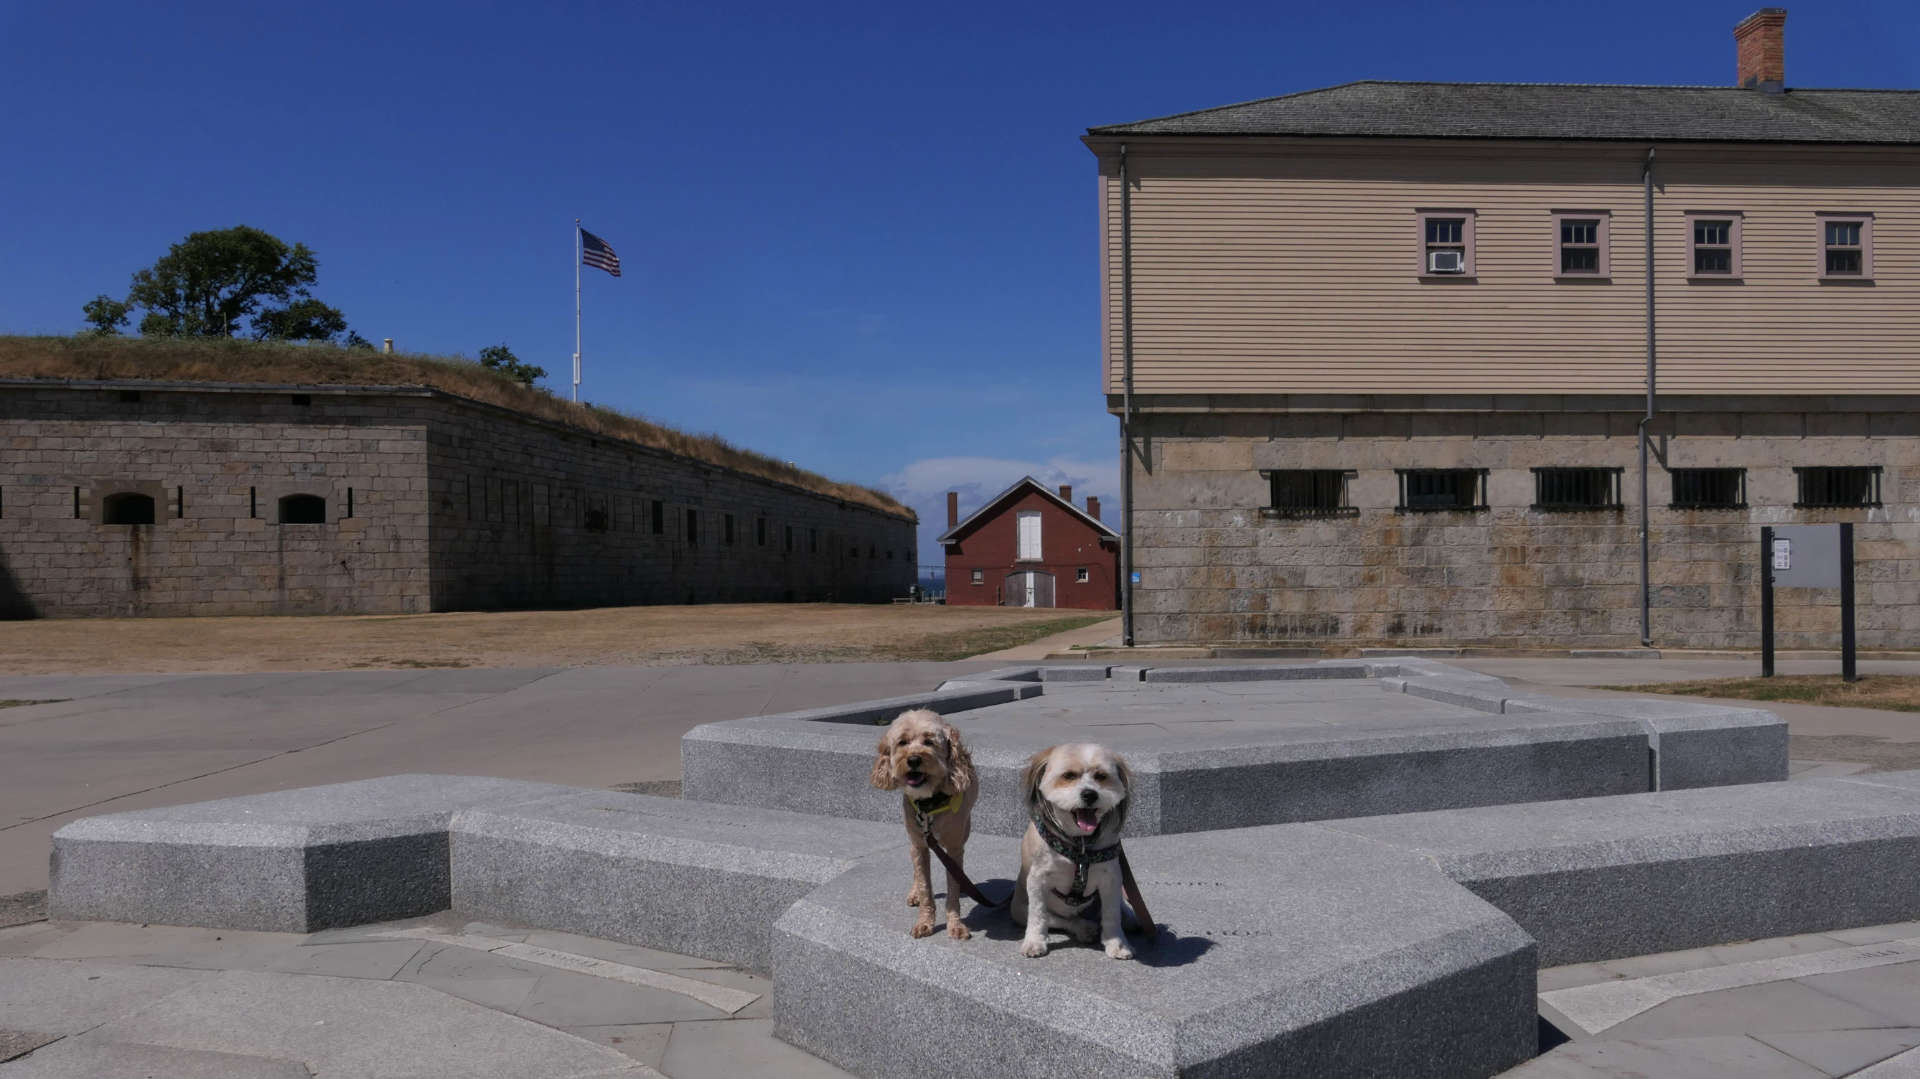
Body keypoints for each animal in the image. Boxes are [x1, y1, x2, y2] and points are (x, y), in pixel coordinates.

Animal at [879, 706, 983, 933]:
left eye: (929, 742)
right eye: (902, 742)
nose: (913, 760)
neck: (930, 804)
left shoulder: (954, 847)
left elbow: (952, 889)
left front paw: (955, 924)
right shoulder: (919, 845)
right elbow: (925, 886)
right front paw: (925, 922)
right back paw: (914, 892)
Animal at [1013, 737, 1128, 956]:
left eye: (1101, 776)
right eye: (1068, 775)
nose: (1090, 794)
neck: (1080, 845)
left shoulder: (1111, 879)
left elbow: (1112, 914)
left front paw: (1116, 943)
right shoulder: (1037, 879)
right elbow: (1038, 915)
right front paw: (1034, 942)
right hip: (1021, 909)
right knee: (1063, 920)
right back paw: (1084, 928)